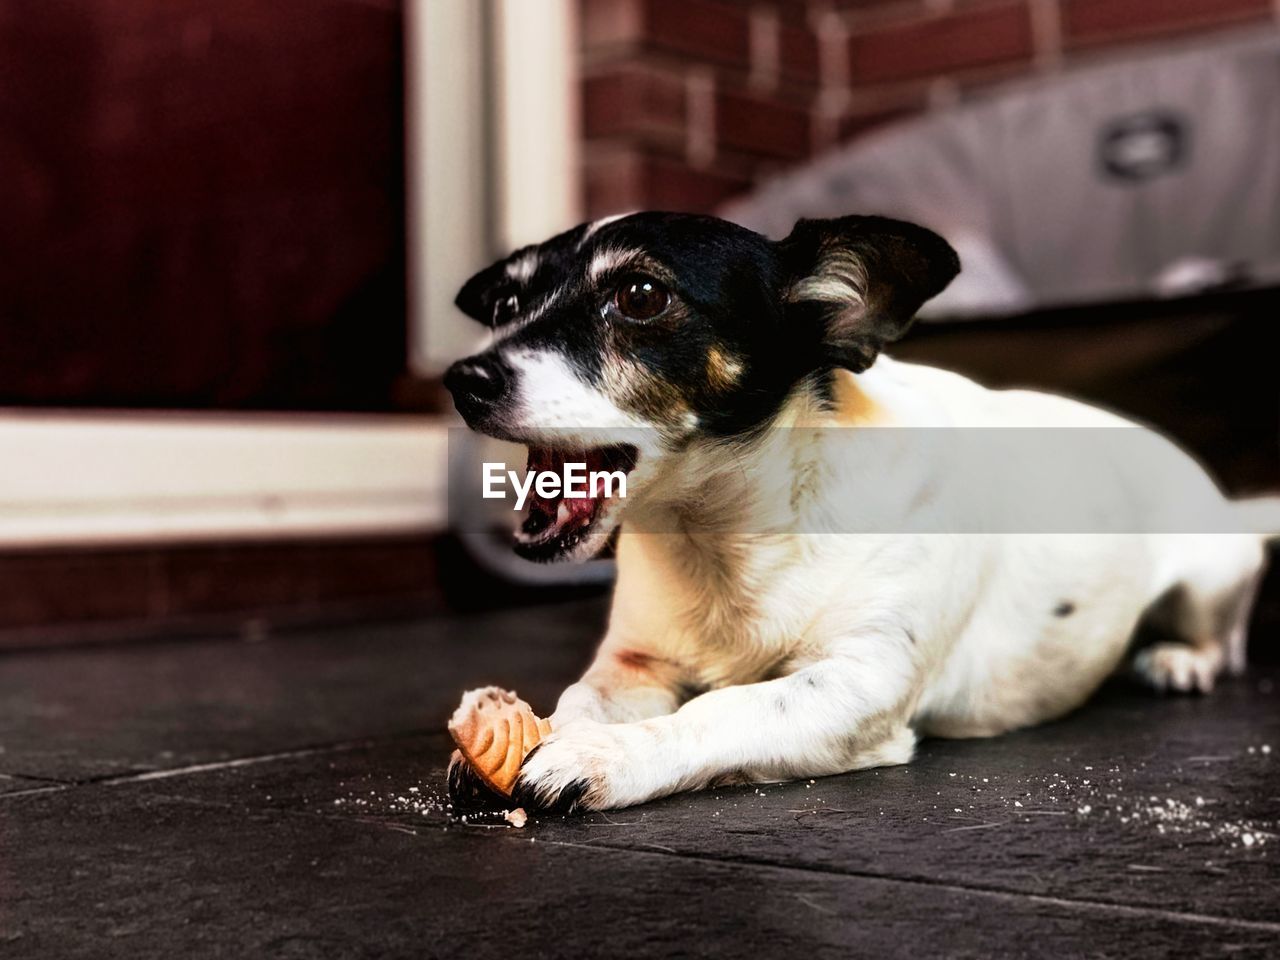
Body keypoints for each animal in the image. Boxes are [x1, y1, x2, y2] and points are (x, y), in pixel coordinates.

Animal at [437, 213, 1269, 814]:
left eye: (641, 297)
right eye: (507, 304)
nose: (461, 377)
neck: (727, 536)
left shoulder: (855, 687)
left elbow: (726, 709)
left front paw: (605, 756)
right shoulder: (634, 664)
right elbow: (584, 697)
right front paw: (539, 733)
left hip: (1208, 577)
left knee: (1226, 639)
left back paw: (1183, 659)